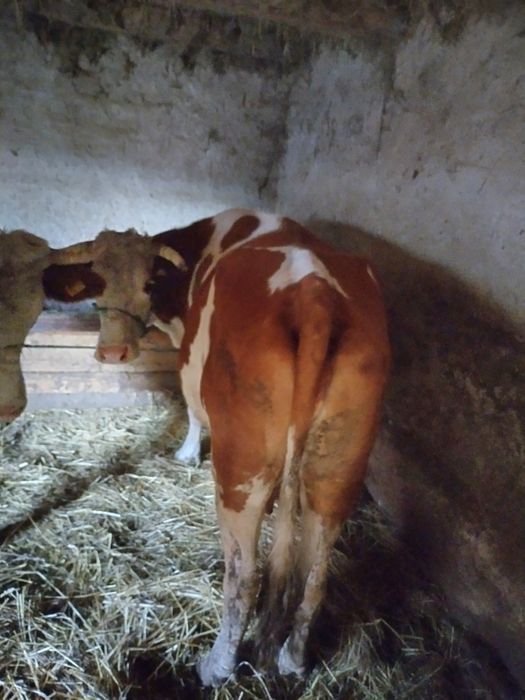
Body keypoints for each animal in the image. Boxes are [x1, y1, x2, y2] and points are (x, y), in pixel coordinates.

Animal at [42, 209, 390, 686]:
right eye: (98, 282)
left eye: (148, 284)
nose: (114, 352)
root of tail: (315, 296)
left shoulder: (190, 365)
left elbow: (192, 410)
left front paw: (186, 454)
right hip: (336, 468)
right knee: (315, 574)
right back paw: (293, 660)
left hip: (239, 474)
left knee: (244, 578)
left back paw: (216, 666)